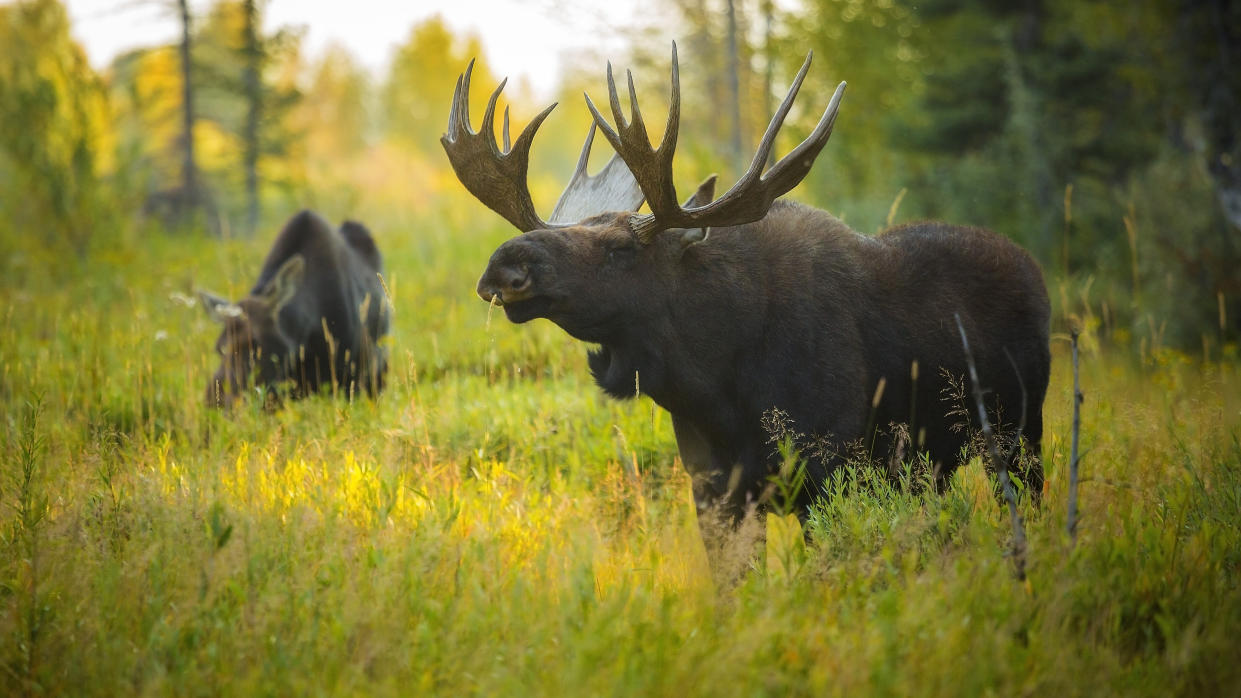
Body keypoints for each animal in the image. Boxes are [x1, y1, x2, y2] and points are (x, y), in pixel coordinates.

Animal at [441, 43, 1052, 568]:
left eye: (620, 248)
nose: (504, 266)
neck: (717, 383)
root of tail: (1033, 269)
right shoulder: (713, 488)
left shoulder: (830, 470)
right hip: (936, 464)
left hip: (1020, 432)